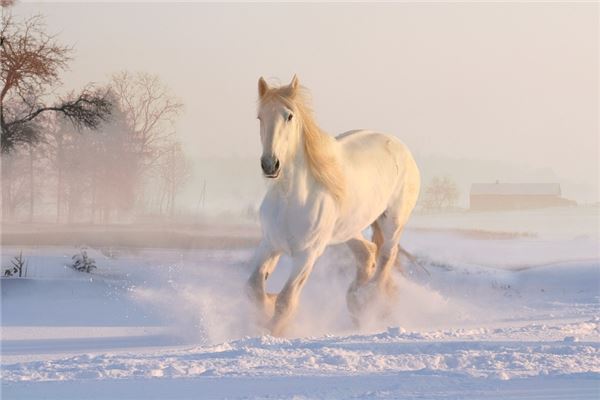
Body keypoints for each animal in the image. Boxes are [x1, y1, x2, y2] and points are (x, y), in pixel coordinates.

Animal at [246, 76, 420, 338]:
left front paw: (274, 331)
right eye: (260, 117)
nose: (270, 164)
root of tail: (401, 148)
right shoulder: (270, 244)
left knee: (386, 257)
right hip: (348, 229)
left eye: (289, 116)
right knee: (367, 253)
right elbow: (254, 287)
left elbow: (286, 301)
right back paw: (356, 302)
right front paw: (266, 306)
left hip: (393, 222)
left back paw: (367, 300)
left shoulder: (307, 255)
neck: (290, 199)